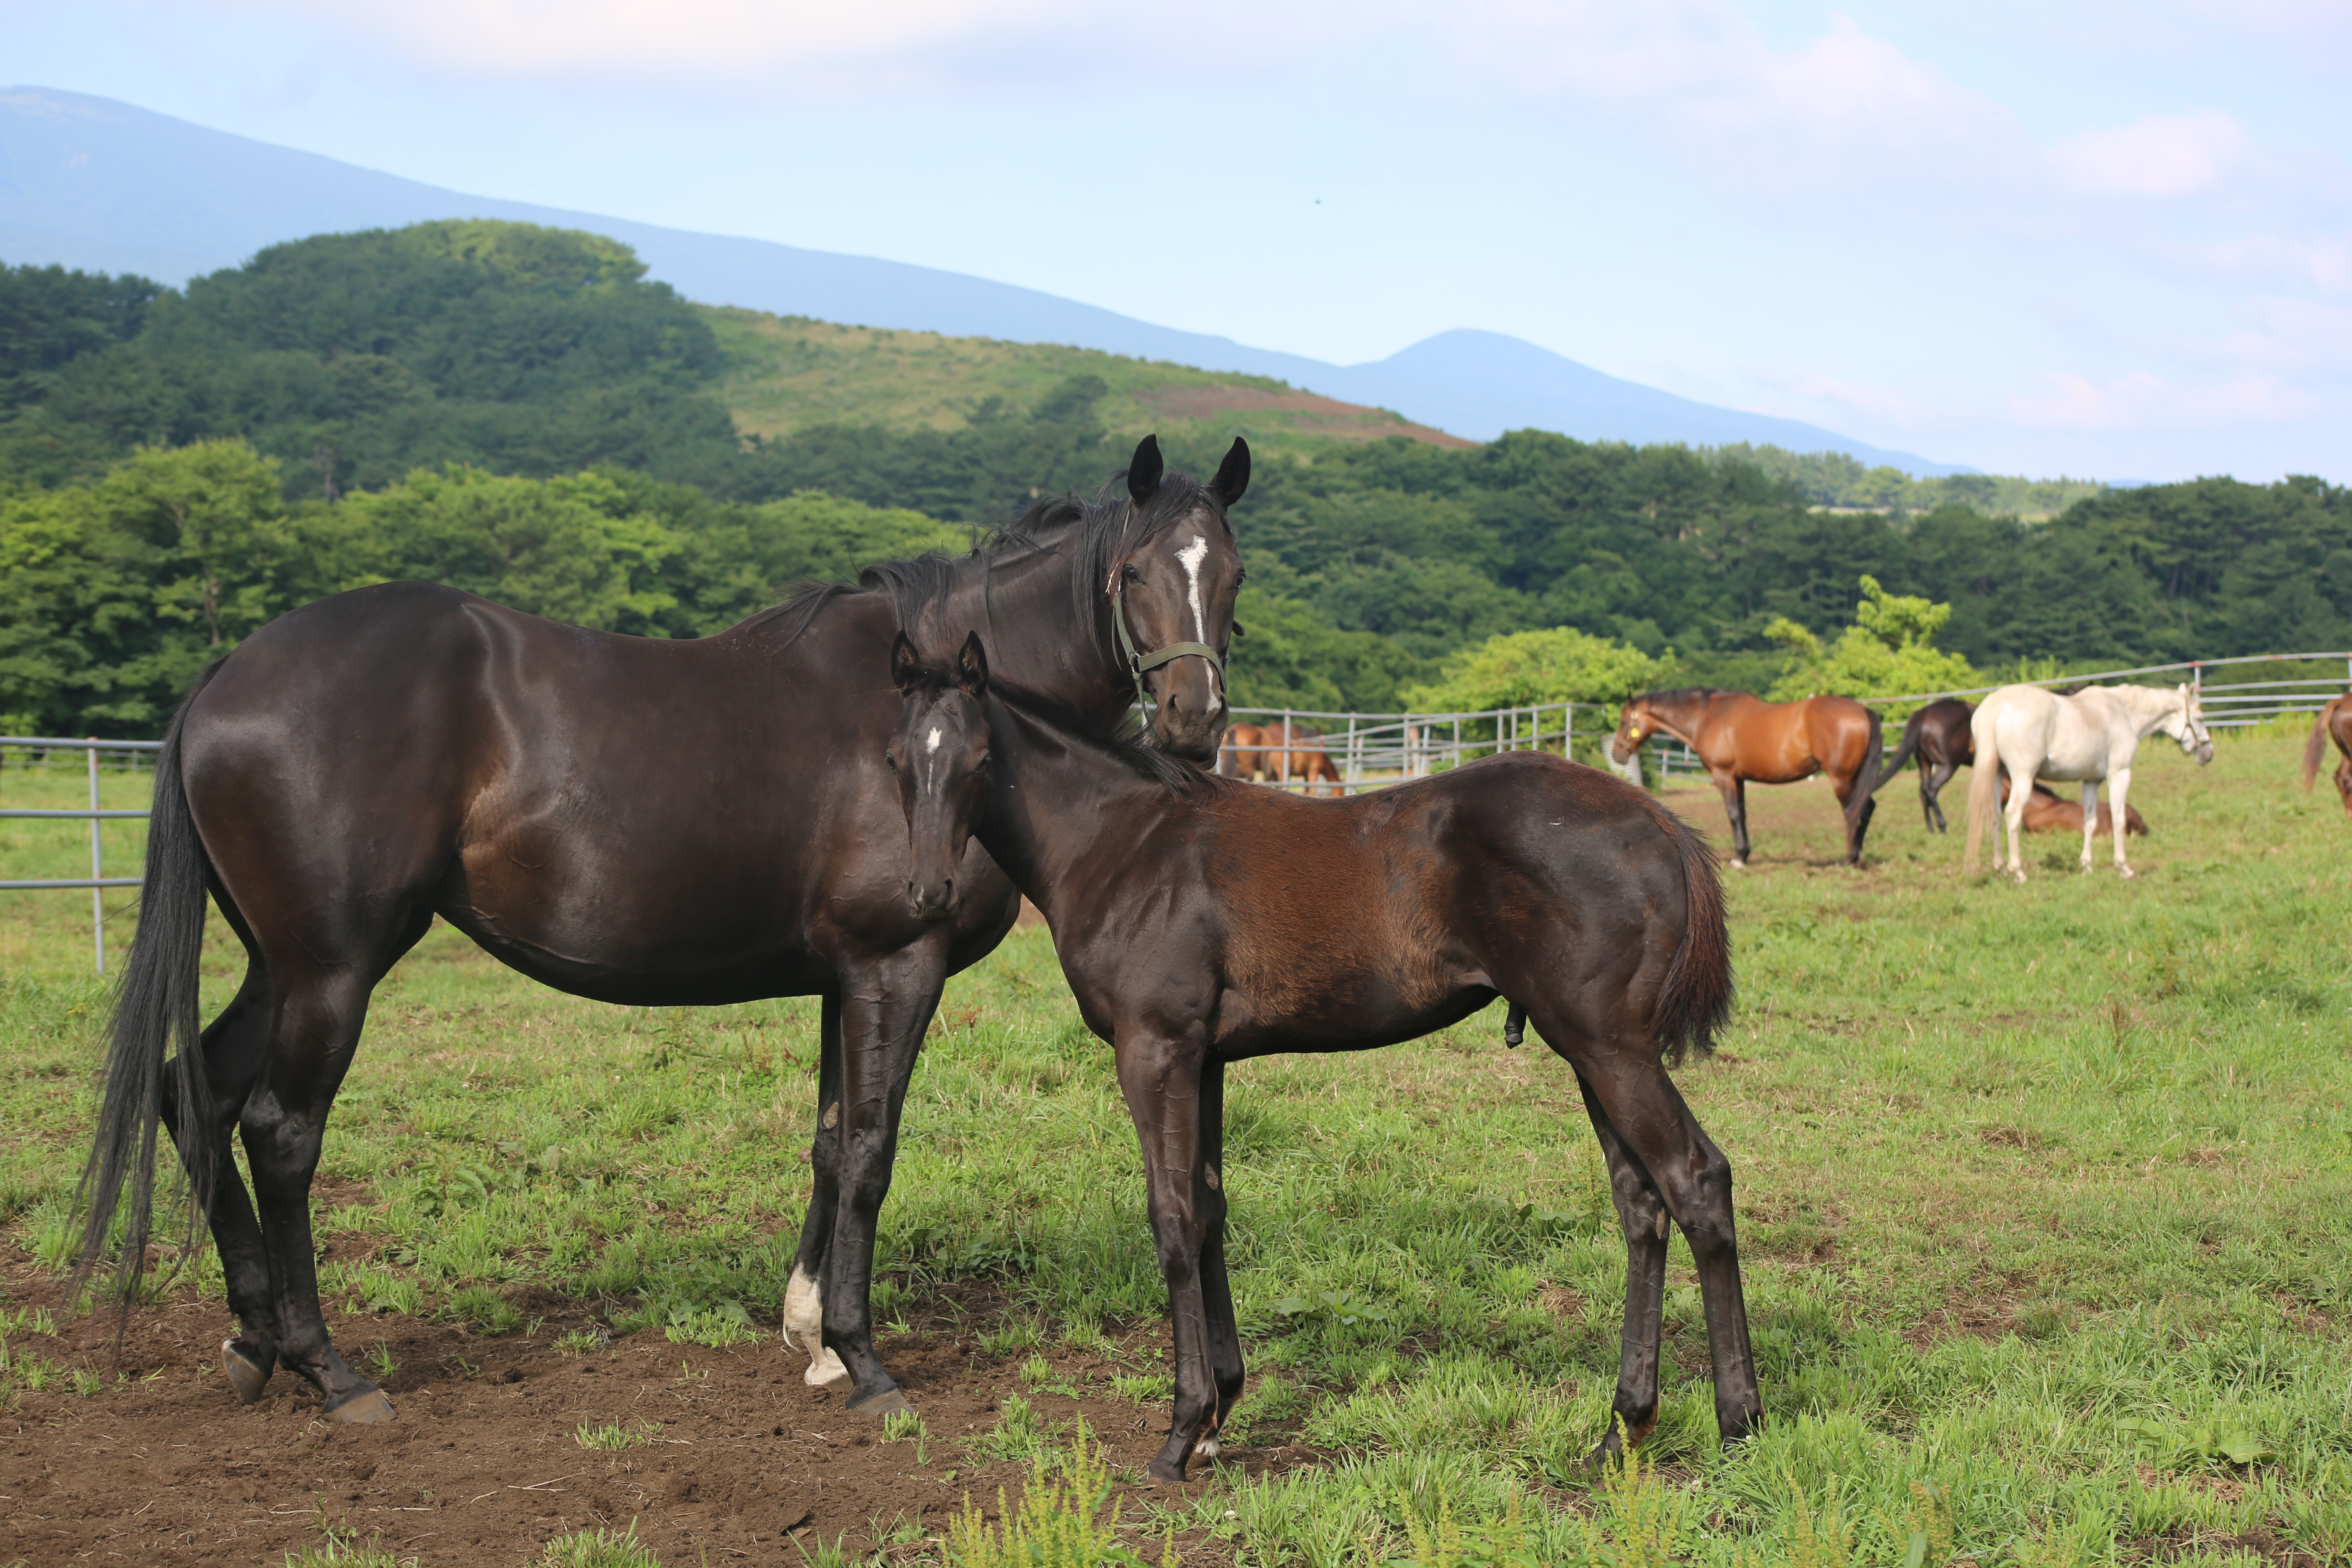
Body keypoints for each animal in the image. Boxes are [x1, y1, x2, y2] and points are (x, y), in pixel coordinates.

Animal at [78, 435, 1251, 1429]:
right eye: (1133, 575)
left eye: (1231, 574)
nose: (1194, 723)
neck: (927, 715)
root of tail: (230, 673)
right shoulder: (895, 965)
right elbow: (872, 1149)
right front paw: (865, 1362)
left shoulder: (840, 977)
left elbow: (829, 1141)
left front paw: (812, 1340)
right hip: (332, 968)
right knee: (279, 1132)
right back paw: (332, 1370)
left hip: (281, 964)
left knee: (194, 1094)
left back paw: (254, 1341)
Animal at [889, 630, 1759, 1486]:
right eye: (898, 759)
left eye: (979, 760)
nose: (929, 894)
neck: (1122, 843)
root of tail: (1659, 823)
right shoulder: (1204, 1060)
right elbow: (1208, 1208)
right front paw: (1218, 1416)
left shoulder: (1154, 1050)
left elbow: (1171, 1216)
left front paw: (1181, 1432)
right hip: (1589, 1053)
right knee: (1640, 1203)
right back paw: (1622, 1431)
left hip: (1611, 1049)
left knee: (1694, 1179)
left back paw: (1739, 1427)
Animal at [1608, 691, 1882, 870]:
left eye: (1623, 721)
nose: (1617, 754)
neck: (1708, 717)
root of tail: (1863, 710)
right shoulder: (1739, 779)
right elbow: (1742, 813)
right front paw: (1746, 854)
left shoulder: (1725, 775)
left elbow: (1733, 815)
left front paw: (1739, 857)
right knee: (1867, 808)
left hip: (1842, 778)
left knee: (1854, 811)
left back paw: (1849, 858)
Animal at [1966, 686, 2201, 884]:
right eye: (2200, 718)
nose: (2207, 753)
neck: (2123, 712)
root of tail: (1997, 704)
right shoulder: (2120, 775)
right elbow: (2119, 820)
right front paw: (2123, 867)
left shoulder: (2091, 781)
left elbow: (2090, 822)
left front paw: (2087, 867)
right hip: (2023, 776)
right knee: (2012, 814)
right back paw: (2018, 871)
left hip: (1997, 775)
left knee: (1996, 816)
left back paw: (2001, 867)